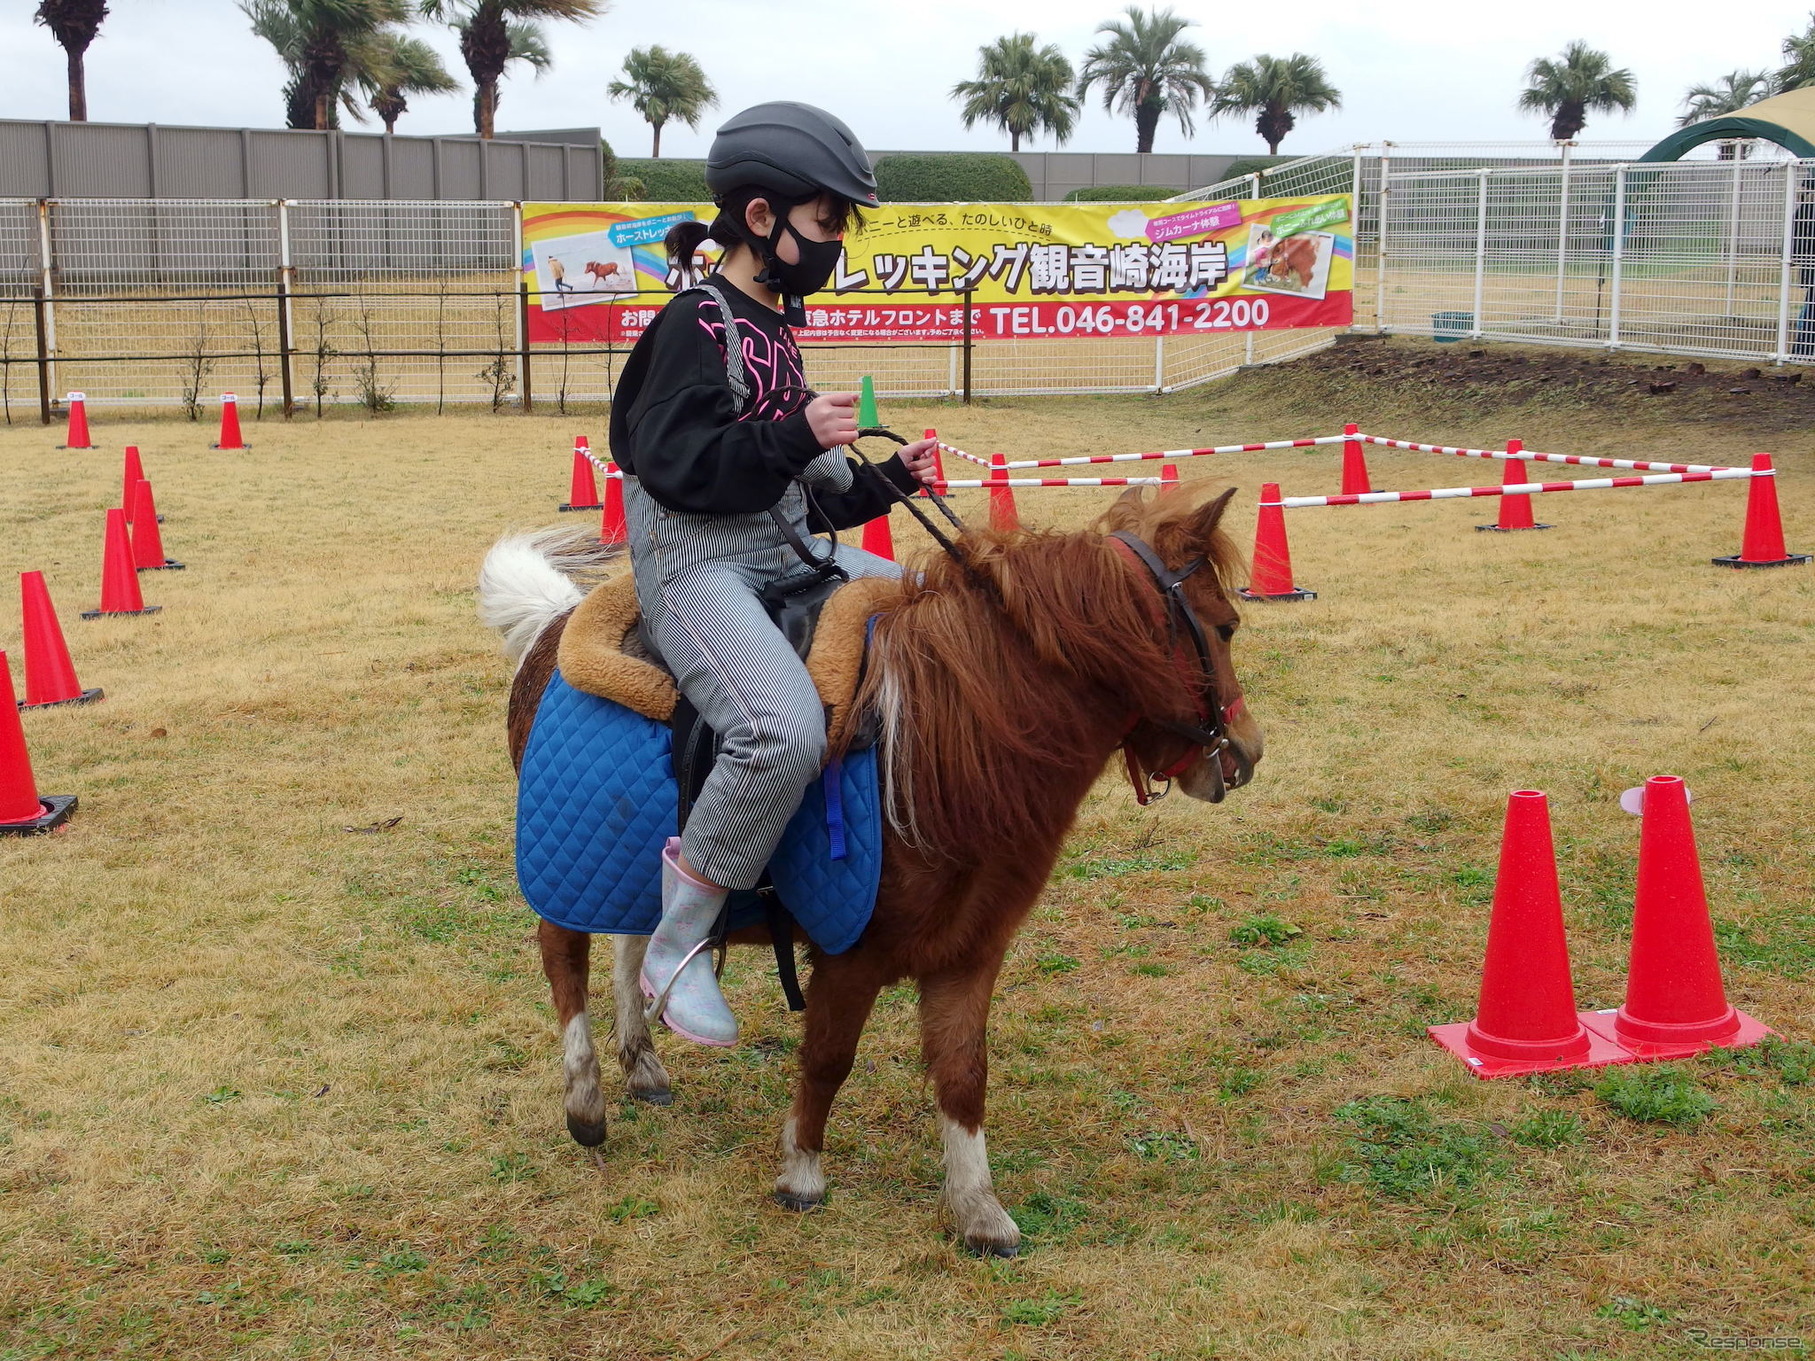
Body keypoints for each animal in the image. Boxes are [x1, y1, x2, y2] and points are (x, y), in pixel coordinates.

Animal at [486, 486, 1277, 1255]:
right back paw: (585, 1100)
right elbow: (829, 1058)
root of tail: (555, 624)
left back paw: (643, 1063)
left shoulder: (970, 951)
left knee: (633, 943)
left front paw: (979, 1210)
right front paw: (802, 1171)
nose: (1246, 752)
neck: (944, 744)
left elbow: (963, 1072)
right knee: (564, 956)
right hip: (564, 868)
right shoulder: (851, 951)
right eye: (1226, 626)